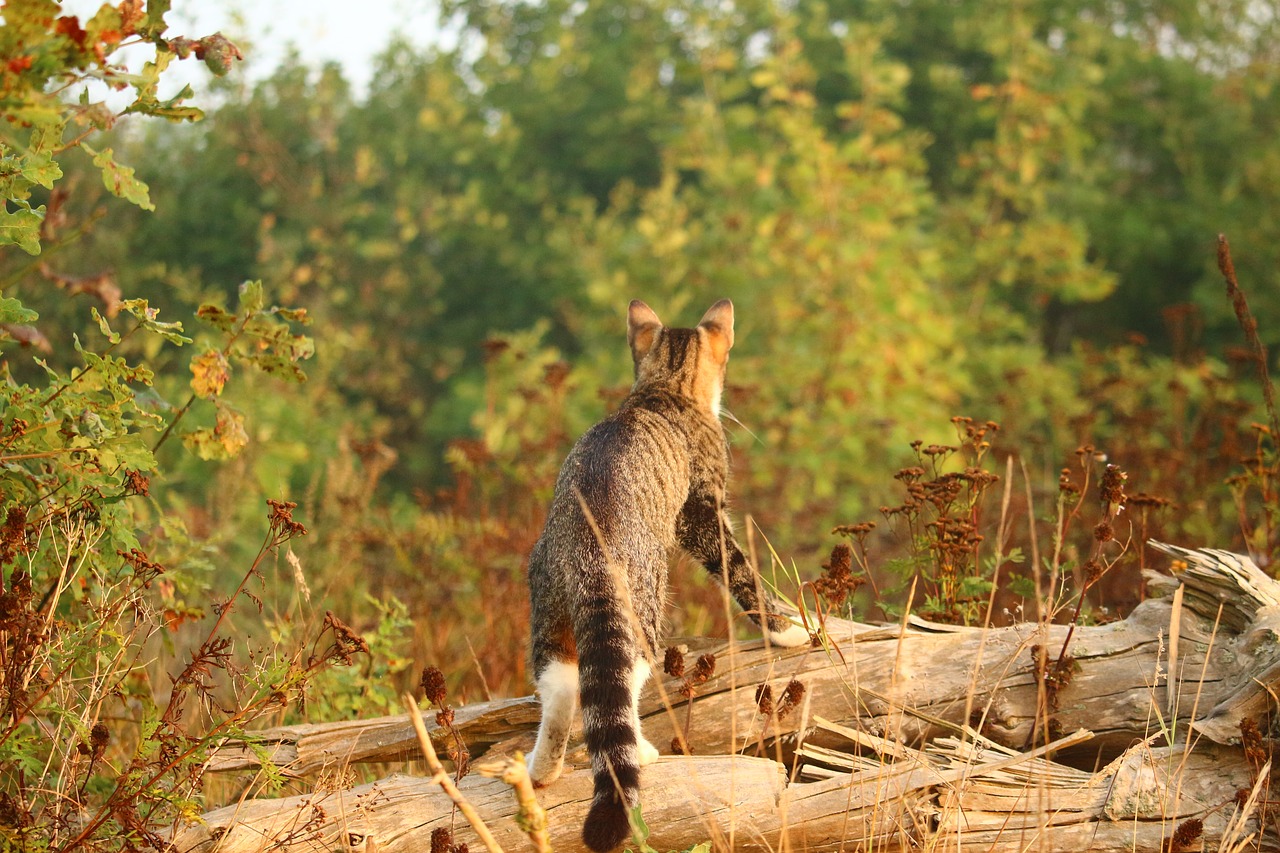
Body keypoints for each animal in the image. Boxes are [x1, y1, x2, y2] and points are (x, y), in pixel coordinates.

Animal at [522, 298, 803, 850]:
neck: (664, 388)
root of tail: (591, 548)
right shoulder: (701, 513)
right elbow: (740, 570)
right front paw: (787, 629)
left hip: (548, 598)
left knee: (563, 683)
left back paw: (542, 772)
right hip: (646, 600)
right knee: (624, 678)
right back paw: (643, 753)